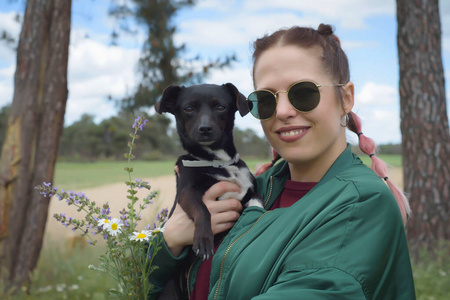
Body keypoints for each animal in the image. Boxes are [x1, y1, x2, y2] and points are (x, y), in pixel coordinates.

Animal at [156, 82, 264, 260]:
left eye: (220, 107)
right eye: (188, 108)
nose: (205, 128)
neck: (220, 162)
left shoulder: (249, 191)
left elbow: (258, 200)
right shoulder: (187, 192)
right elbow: (203, 210)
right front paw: (203, 239)